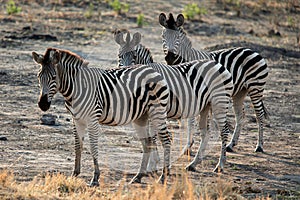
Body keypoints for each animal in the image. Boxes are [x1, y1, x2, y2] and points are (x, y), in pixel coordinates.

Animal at [31, 47, 172, 185]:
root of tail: (152, 70)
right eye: (38, 76)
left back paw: (163, 177)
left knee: (166, 139)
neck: (76, 89)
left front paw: (95, 178)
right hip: (141, 117)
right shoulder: (76, 120)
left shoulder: (92, 119)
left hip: (157, 111)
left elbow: (93, 147)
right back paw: (138, 176)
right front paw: (74, 174)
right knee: (147, 142)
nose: (43, 104)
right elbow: (78, 146)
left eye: (54, 77)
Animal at [113, 32, 233, 173]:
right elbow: (150, 138)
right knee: (206, 133)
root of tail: (219, 66)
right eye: (119, 56)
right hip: (206, 106)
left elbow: (153, 137)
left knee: (224, 131)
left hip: (219, 102)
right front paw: (153, 165)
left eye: (134, 56)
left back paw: (220, 165)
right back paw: (193, 164)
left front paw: (152, 166)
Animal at [159, 12, 270, 156]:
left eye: (178, 37)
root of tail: (254, 51)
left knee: (259, 115)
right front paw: (188, 146)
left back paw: (259, 146)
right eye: (163, 36)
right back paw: (230, 145)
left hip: (256, 88)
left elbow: (190, 121)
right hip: (240, 92)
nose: (170, 58)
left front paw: (188, 147)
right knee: (240, 116)